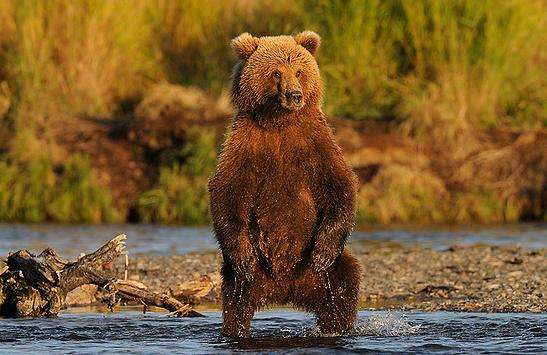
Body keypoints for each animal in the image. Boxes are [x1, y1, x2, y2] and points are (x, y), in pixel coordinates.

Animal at [208, 31, 362, 340]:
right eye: (276, 72)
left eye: (299, 71)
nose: (295, 95)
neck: (279, 121)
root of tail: (285, 288)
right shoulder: (246, 144)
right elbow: (227, 190)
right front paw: (243, 258)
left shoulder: (314, 142)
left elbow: (339, 185)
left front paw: (321, 255)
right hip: (248, 276)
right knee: (235, 299)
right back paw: (235, 330)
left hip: (326, 274)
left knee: (343, 287)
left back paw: (337, 328)